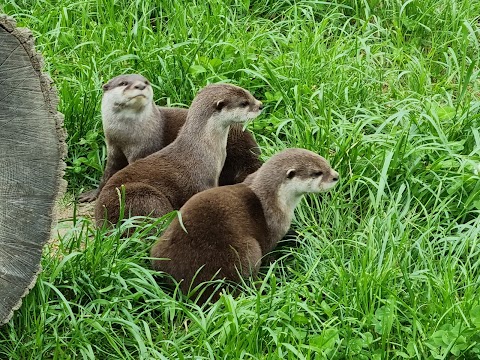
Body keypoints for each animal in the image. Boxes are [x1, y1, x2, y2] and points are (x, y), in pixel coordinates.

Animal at [94, 83, 264, 226]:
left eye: (250, 94)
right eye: (244, 103)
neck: (202, 151)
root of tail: (103, 216)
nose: (260, 105)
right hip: (145, 197)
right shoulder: (202, 183)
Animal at [150, 148, 338, 302]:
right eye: (318, 172)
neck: (275, 200)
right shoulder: (275, 225)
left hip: (160, 246)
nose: (336, 176)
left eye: (327, 164)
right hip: (245, 252)